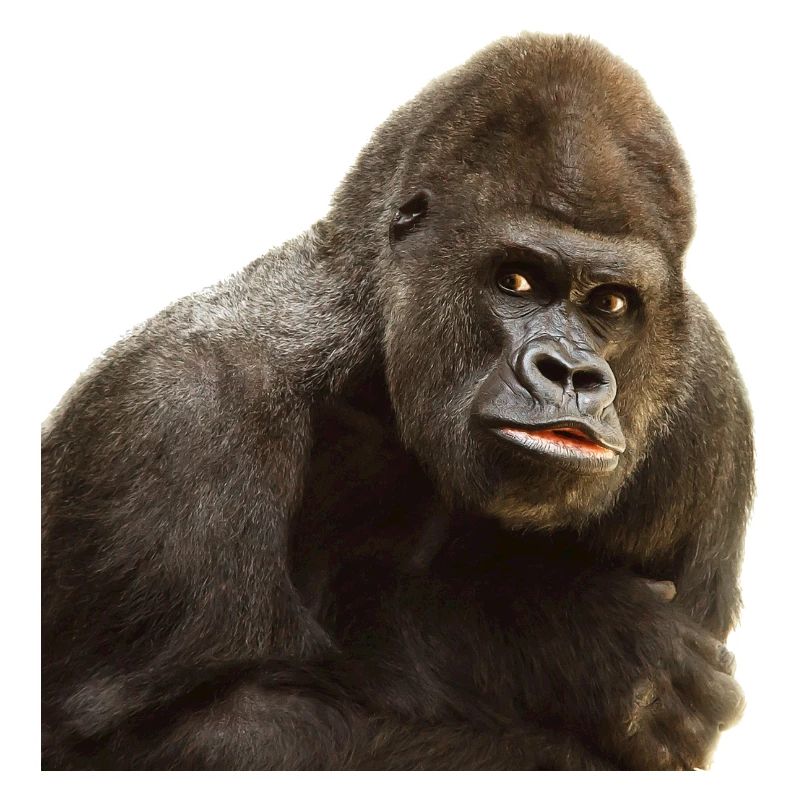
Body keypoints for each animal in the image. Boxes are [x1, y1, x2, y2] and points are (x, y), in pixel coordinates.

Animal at [41, 33, 753, 769]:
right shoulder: (180, 409)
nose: (571, 373)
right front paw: (570, 640)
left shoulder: (709, 408)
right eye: (516, 281)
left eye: (610, 303)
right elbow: (164, 733)